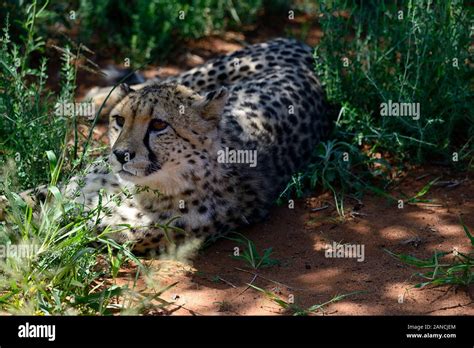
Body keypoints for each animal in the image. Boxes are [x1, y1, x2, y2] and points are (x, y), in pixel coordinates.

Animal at [12, 38, 334, 254]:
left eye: (158, 125)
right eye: (119, 121)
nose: (121, 154)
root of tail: (311, 56)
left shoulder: (91, 225)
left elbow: (40, 223)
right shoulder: (68, 192)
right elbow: (19, 198)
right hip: (205, 75)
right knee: (143, 83)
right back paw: (88, 98)